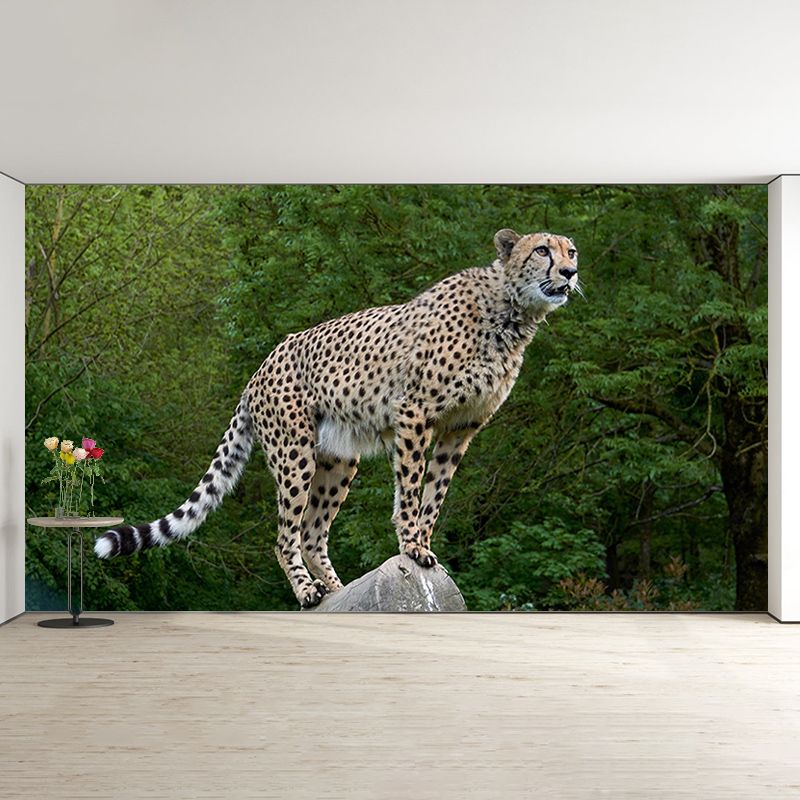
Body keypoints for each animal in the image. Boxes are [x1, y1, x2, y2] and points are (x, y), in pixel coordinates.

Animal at [94, 229, 581, 608]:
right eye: (543, 250)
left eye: (571, 251)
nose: (570, 274)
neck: (510, 311)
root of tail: (260, 367)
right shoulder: (415, 412)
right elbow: (410, 488)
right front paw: (411, 545)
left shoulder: (460, 429)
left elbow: (435, 494)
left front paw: (423, 544)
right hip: (295, 452)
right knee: (285, 535)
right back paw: (308, 591)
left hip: (339, 458)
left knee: (312, 532)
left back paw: (336, 588)